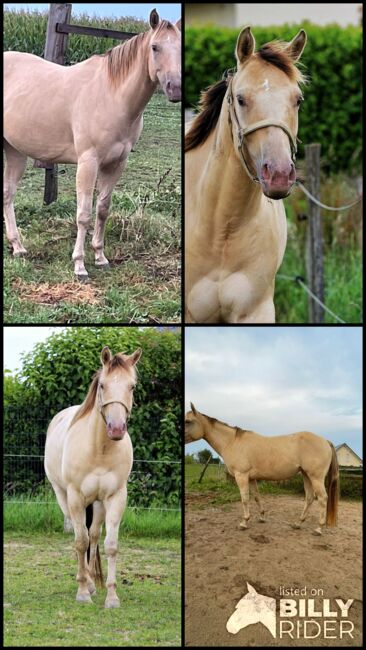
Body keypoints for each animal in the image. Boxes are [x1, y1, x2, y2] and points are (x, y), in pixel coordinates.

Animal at [2, 9, 180, 278]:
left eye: (181, 47)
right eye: (155, 47)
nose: (175, 88)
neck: (111, 95)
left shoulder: (117, 163)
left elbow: (103, 209)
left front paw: (100, 257)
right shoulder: (88, 162)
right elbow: (83, 214)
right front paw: (79, 265)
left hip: (15, 152)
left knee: (8, 194)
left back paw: (18, 247)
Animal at [44, 346, 142, 604]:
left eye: (132, 386)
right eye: (103, 385)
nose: (116, 429)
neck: (100, 450)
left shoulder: (116, 497)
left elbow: (110, 544)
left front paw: (111, 596)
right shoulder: (76, 497)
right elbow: (80, 542)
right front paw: (82, 592)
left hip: (97, 503)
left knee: (95, 535)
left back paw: (91, 583)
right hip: (63, 496)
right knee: (82, 537)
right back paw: (85, 583)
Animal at [186, 402, 340, 536]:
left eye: (188, 421)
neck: (232, 442)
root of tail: (325, 441)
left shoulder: (241, 476)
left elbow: (245, 499)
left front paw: (244, 523)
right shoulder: (251, 478)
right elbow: (256, 497)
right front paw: (261, 517)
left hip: (316, 477)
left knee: (322, 498)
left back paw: (318, 529)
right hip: (306, 475)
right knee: (309, 498)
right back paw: (298, 523)